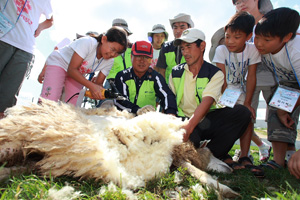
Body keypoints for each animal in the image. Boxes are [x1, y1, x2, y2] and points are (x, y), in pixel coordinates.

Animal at [0, 100, 239, 198]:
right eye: (212, 152)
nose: (231, 169)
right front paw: (229, 190)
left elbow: (196, 172)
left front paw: (227, 190)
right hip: (25, 130)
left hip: (36, 153)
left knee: (16, 166)